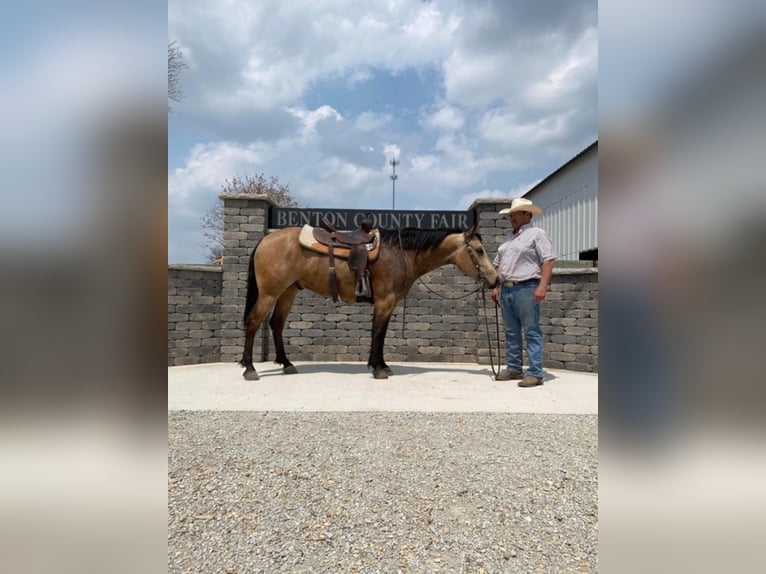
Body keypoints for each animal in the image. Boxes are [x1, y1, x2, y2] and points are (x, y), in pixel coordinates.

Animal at [242, 226, 504, 382]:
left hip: (287, 292)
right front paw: (378, 368)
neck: (401, 253)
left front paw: (382, 365)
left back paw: (287, 364)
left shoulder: (388, 303)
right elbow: (377, 333)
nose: (496, 279)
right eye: (479, 250)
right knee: (253, 323)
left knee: (276, 325)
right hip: (269, 293)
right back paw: (250, 368)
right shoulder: (384, 300)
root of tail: (265, 239)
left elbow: (381, 333)